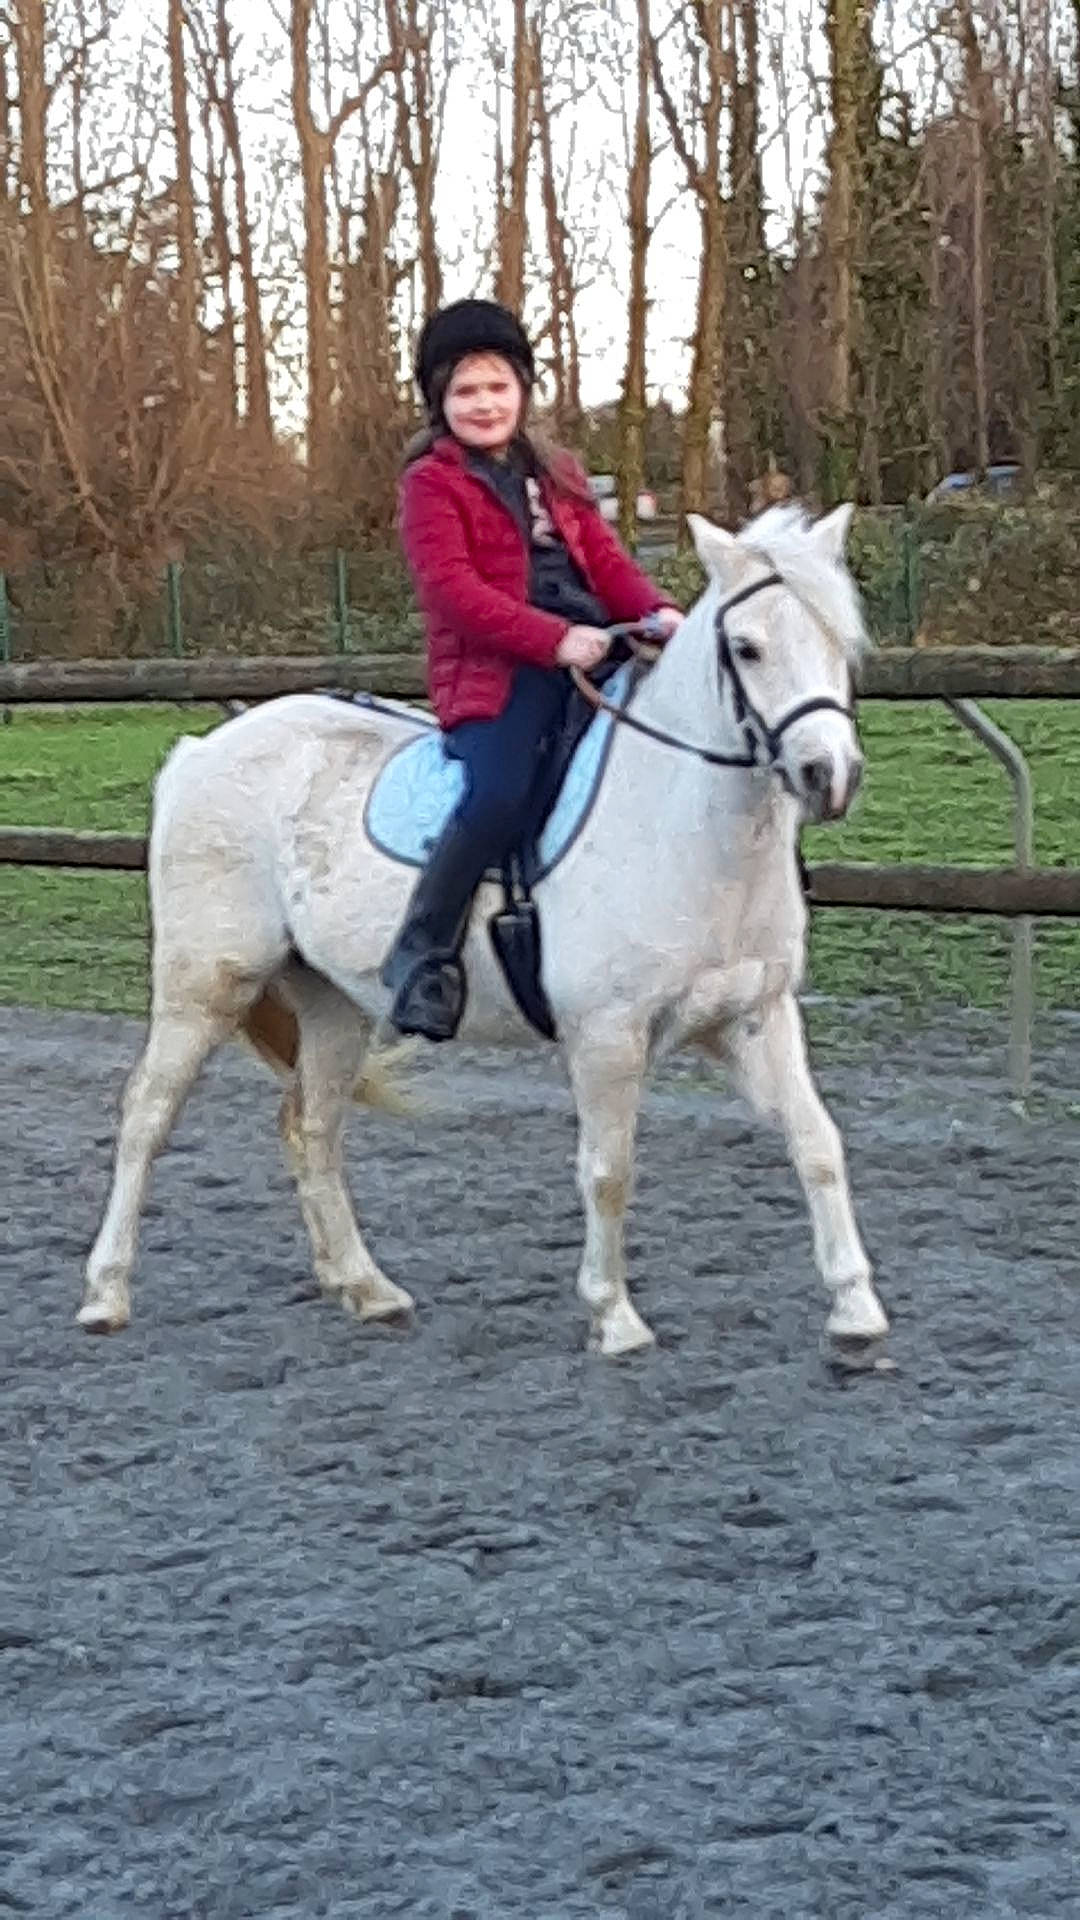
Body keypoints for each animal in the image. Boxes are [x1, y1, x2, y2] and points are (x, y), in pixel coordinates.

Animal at [79, 504, 889, 1358]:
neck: (689, 833)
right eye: (748, 648)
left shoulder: (756, 1017)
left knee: (313, 1128)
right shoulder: (607, 1036)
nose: (829, 776)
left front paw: (856, 1310)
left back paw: (366, 1289)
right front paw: (614, 1316)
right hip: (207, 983)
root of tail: (200, 750)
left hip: (333, 1003)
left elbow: (818, 1144)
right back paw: (106, 1294)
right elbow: (609, 1169)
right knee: (147, 1116)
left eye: (841, 640)